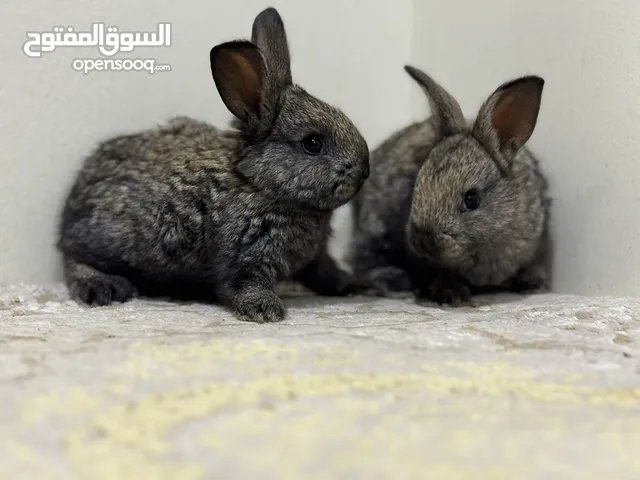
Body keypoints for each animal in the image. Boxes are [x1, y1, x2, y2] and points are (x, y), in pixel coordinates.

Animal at [57, 7, 371, 323]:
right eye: (312, 143)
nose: (364, 171)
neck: (259, 184)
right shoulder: (244, 254)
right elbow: (244, 283)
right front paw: (265, 310)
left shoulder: (315, 257)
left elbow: (325, 273)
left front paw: (353, 285)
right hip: (108, 240)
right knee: (73, 257)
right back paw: (103, 287)